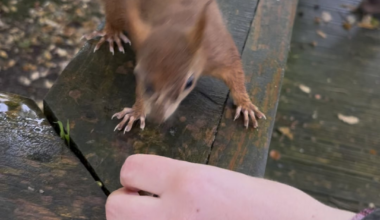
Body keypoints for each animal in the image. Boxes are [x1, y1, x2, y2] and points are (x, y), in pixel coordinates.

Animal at [83, 0, 266, 133]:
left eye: (189, 82)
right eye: (136, 74)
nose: (156, 117)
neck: (176, 20)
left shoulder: (218, 49)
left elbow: (235, 73)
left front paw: (246, 105)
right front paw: (136, 111)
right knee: (114, 16)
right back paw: (112, 34)